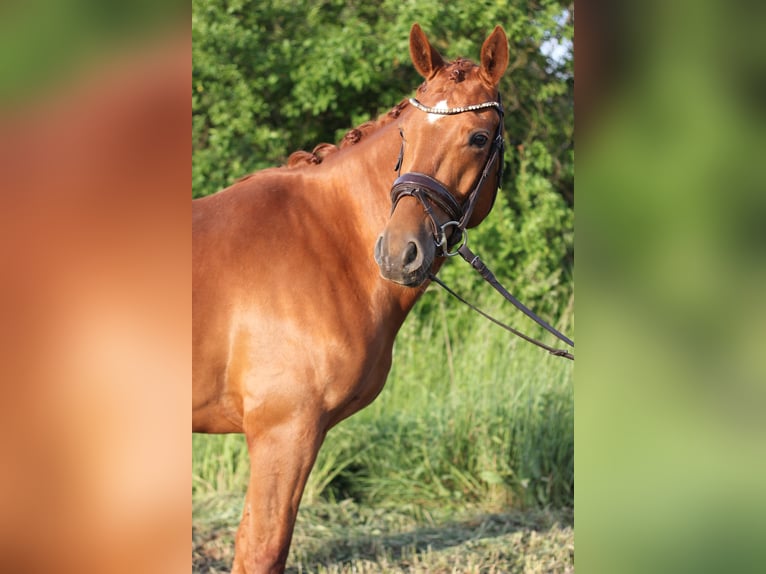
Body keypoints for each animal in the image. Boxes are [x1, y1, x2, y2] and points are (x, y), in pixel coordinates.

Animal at [195, 23, 512, 574]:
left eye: (477, 138)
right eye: (407, 134)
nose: (399, 253)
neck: (325, 239)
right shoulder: (283, 433)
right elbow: (261, 547)